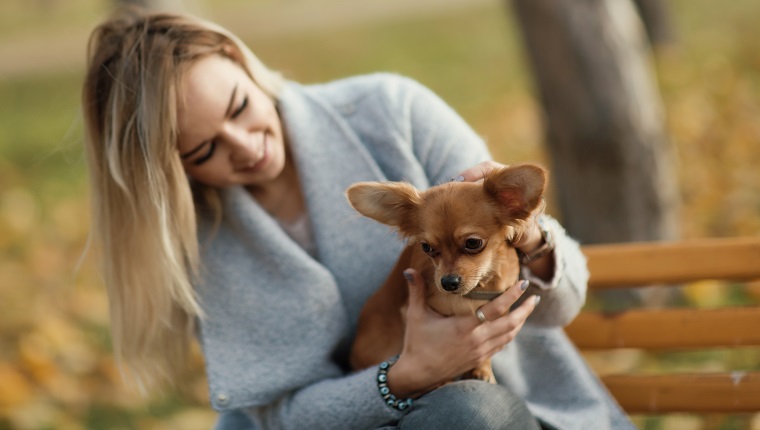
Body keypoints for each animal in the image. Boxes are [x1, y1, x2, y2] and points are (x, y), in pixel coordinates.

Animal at [348, 163, 548, 382]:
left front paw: (482, 370)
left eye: (473, 243)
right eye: (426, 247)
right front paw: (443, 379)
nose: (448, 282)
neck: (475, 290)